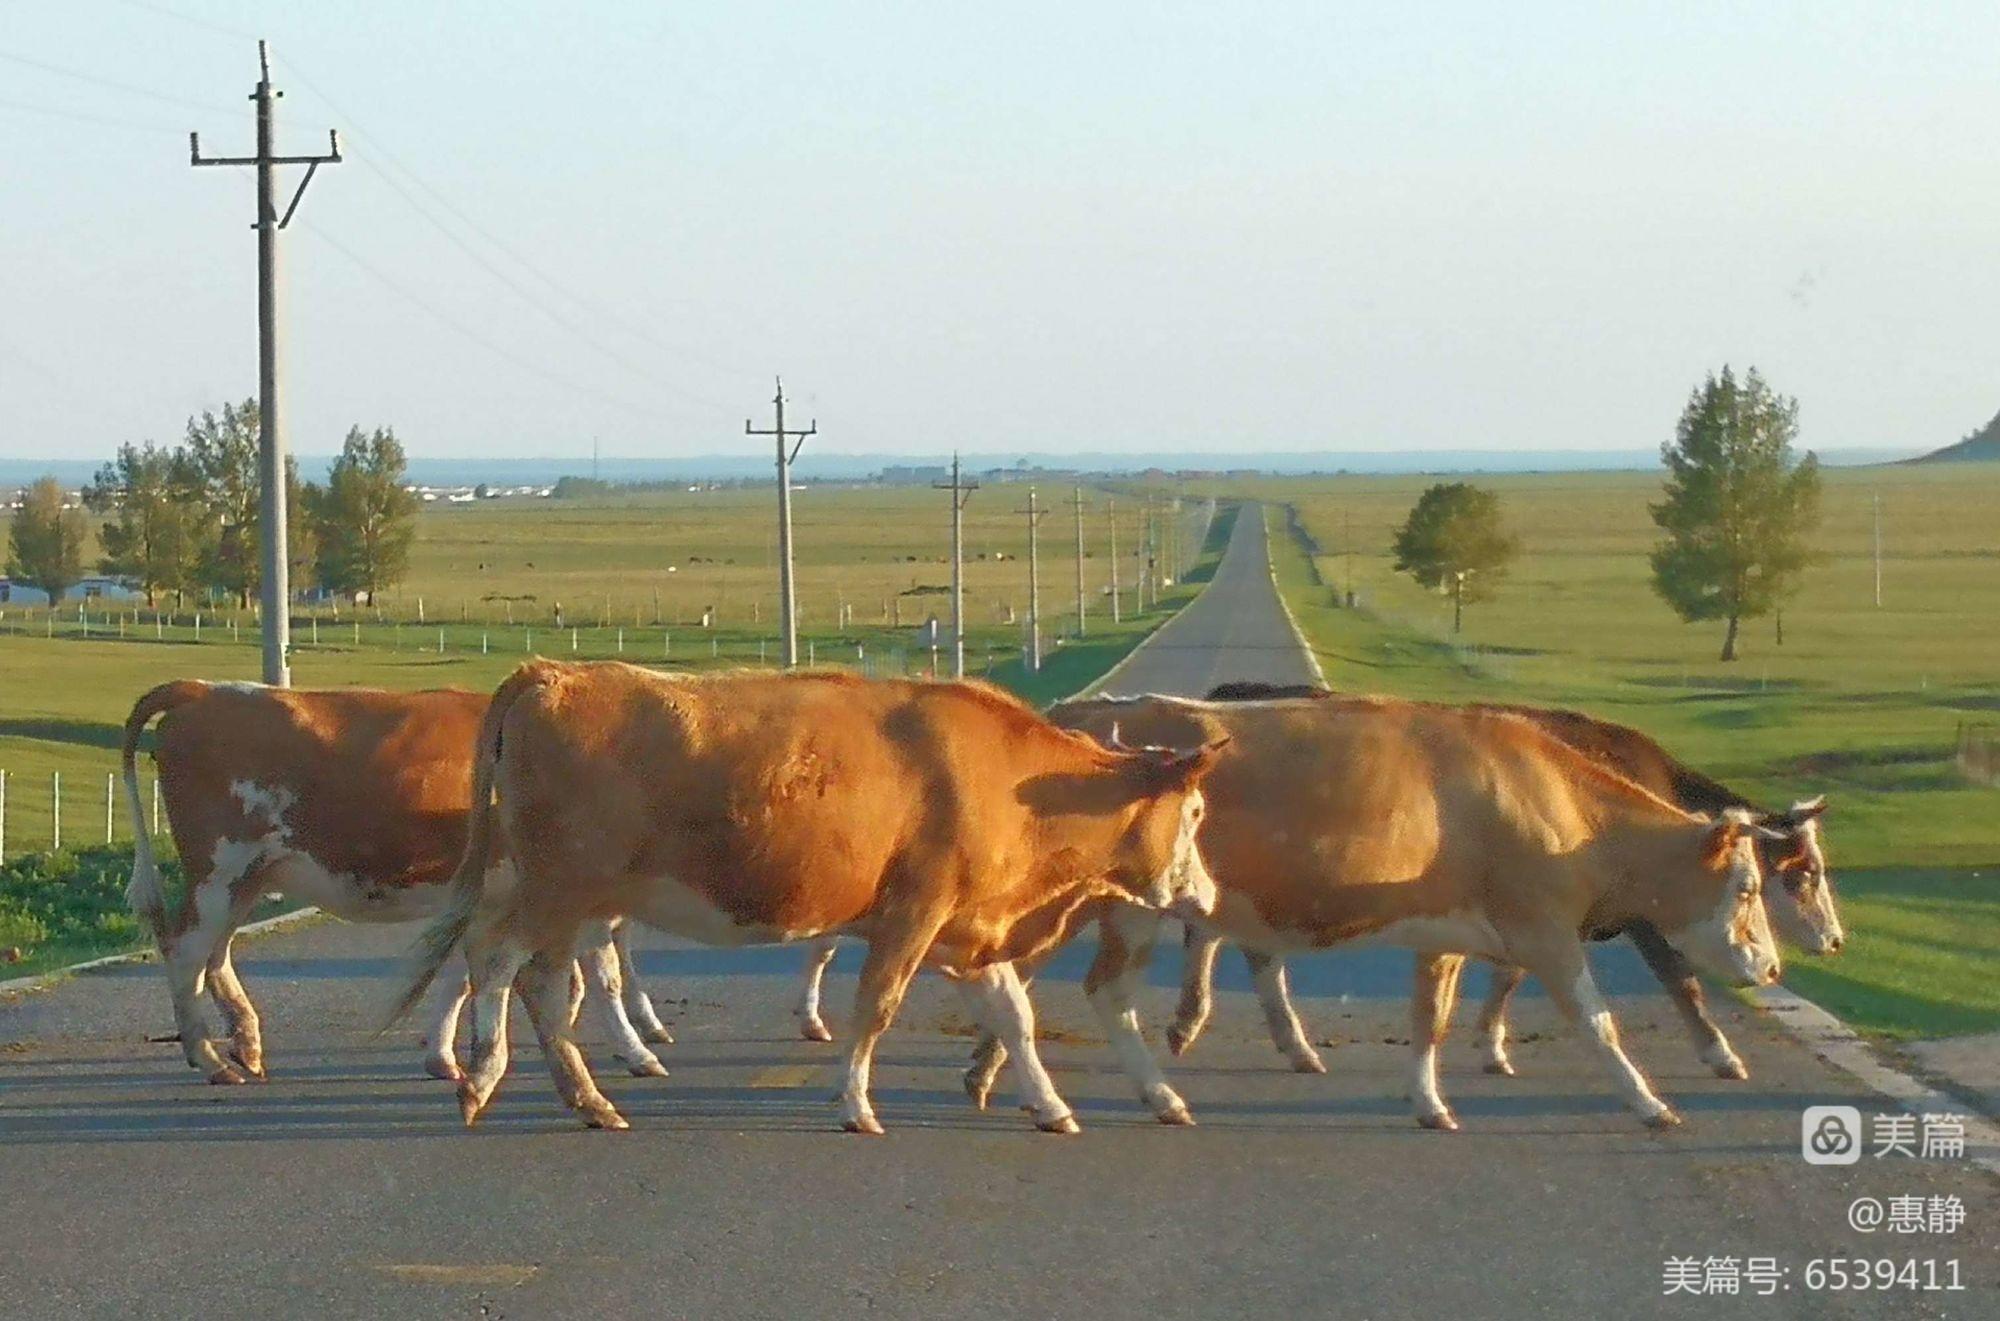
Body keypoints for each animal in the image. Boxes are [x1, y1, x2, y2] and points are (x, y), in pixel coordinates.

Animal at [119, 680, 672, 1080]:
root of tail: (204, 689)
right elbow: (602, 974)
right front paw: (634, 1050)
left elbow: (466, 975)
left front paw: (448, 1056)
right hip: (221, 868)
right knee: (188, 952)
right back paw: (209, 1058)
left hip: (246, 877)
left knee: (215, 954)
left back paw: (246, 1043)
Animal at [380, 664, 1208, 1128]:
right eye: (1197, 813)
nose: (1203, 894)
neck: (1017, 780)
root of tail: (552, 674)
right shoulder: (914, 914)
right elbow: (875, 1008)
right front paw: (855, 1104)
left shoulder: (966, 929)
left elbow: (1014, 1017)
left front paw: (1051, 1105)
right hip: (560, 885)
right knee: (500, 961)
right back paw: (486, 1075)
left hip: (563, 894)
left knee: (534, 977)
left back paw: (586, 1099)